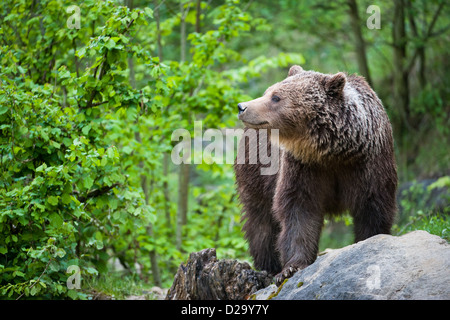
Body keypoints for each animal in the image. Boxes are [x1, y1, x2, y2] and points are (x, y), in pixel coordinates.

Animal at [236, 65, 398, 284]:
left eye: (276, 97)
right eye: (268, 92)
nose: (242, 106)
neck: (333, 152)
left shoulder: (369, 163)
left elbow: (372, 206)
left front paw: (369, 241)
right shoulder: (304, 167)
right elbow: (299, 210)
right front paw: (290, 268)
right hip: (257, 172)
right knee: (261, 221)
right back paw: (268, 265)